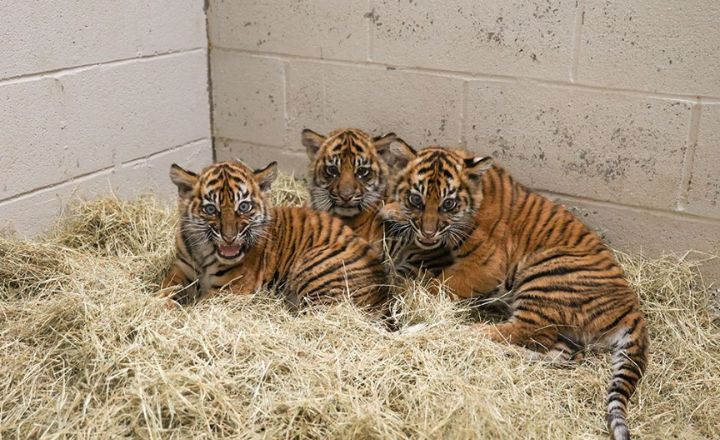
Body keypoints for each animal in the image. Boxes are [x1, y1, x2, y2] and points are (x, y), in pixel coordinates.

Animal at [160, 160, 390, 319]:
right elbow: (167, 289)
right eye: (210, 209)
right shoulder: (181, 268)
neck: (205, 253)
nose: (229, 238)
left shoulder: (231, 289)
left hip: (314, 263)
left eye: (244, 206)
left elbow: (200, 306)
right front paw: (163, 304)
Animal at [381, 143, 649, 440]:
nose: (428, 234)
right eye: (416, 200)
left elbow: (439, 283)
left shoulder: (485, 266)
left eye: (448, 204)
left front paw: (410, 290)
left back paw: (444, 331)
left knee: (516, 331)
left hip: (545, 274)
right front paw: (390, 210)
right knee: (557, 352)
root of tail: (633, 311)